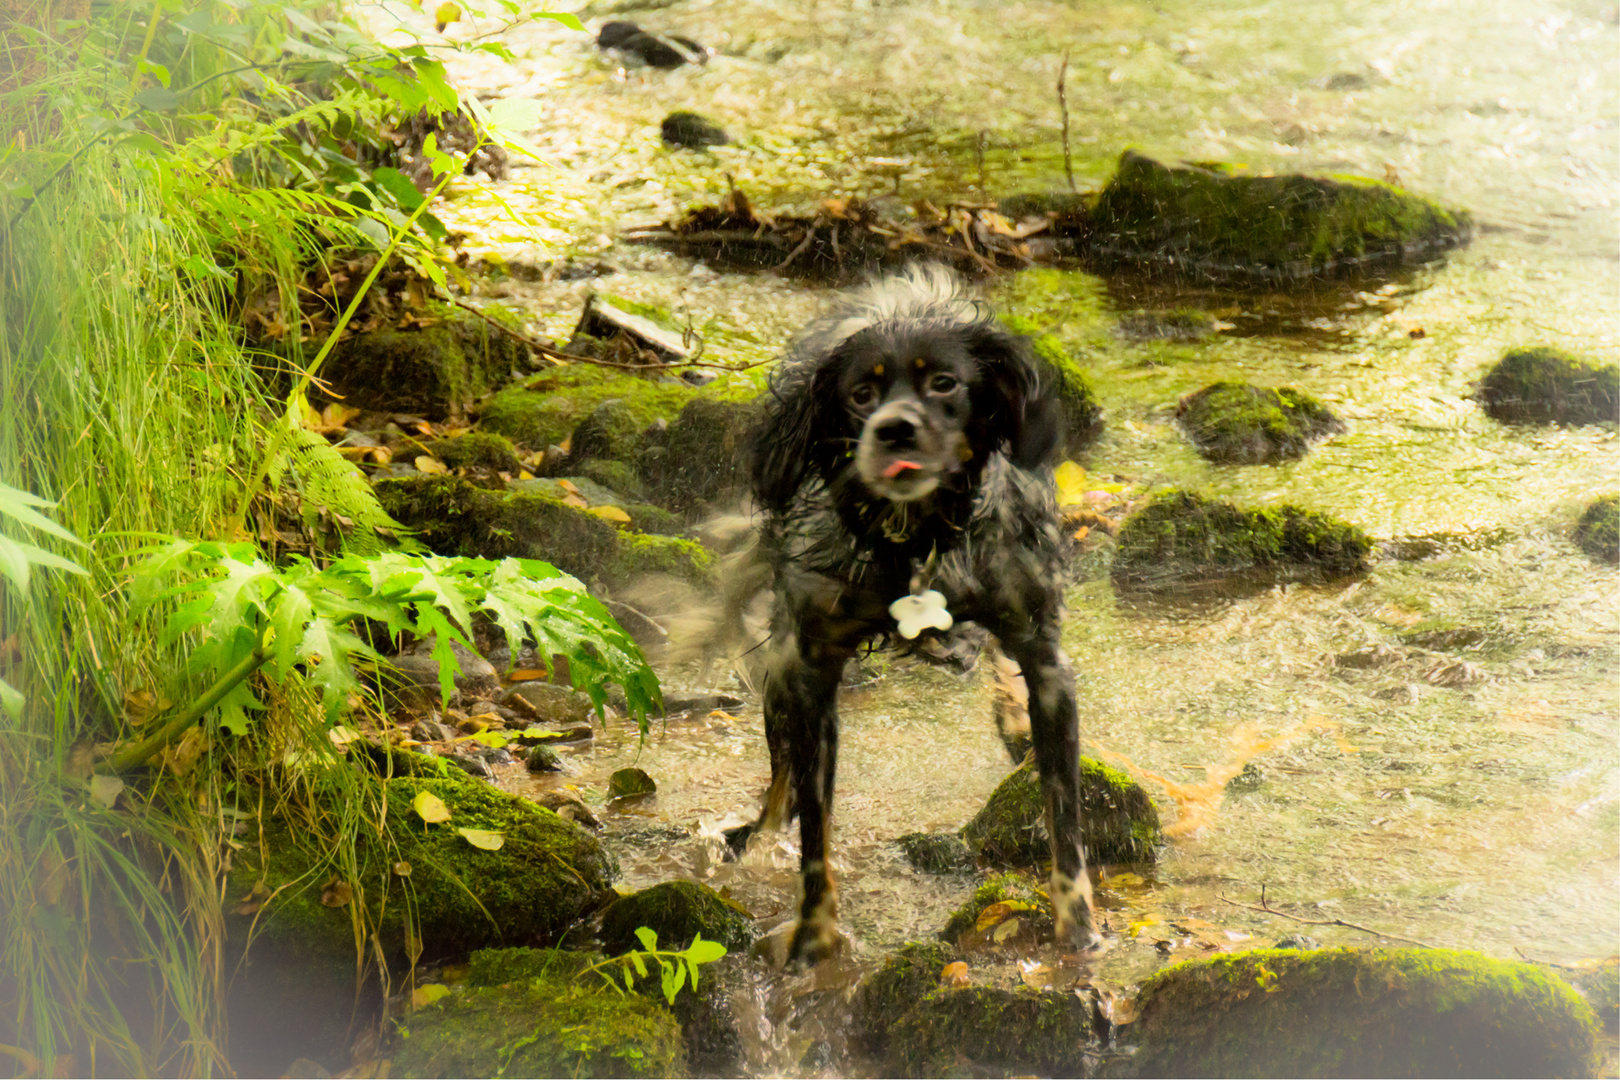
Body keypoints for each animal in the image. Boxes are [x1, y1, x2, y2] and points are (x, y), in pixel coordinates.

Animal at [738, 262, 1101, 965]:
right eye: (860, 395)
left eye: (944, 383)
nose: (895, 429)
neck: (919, 542)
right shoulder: (812, 671)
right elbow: (814, 829)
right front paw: (814, 934)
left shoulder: (1047, 661)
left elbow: (1065, 820)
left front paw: (1080, 932)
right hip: (780, 677)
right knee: (780, 786)